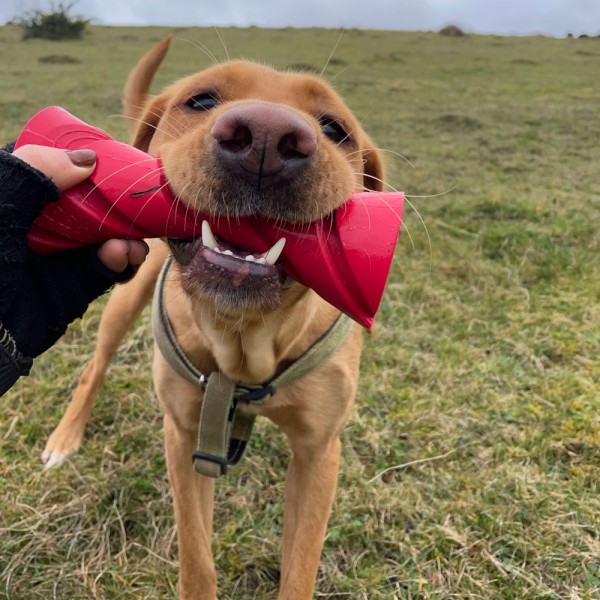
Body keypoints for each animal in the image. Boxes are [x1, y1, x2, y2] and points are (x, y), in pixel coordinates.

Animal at [44, 38, 386, 600]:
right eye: (201, 100)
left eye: (336, 129)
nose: (266, 139)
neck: (246, 340)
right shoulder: (184, 433)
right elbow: (196, 558)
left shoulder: (318, 453)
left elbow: (300, 569)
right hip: (127, 295)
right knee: (95, 366)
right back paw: (64, 439)